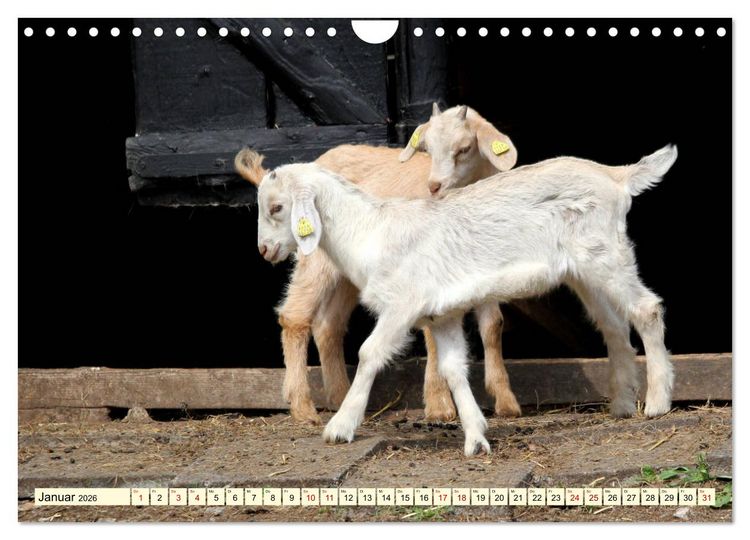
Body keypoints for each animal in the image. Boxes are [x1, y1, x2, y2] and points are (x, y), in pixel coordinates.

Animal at [236, 104, 521, 424]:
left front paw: (506, 401)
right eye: (427, 149)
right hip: (315, 258)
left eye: (464, 148)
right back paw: (303, 407)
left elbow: (492, 325)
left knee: (329, 325)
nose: (434, 187)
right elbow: (432, 334)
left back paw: (340, 397)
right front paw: (438, 405)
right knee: (294, 317)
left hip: (348, 269)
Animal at [255, 145, 677, 455]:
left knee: (647, 309)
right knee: (614, 326)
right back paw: (622, 404)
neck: (372, 233)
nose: (265, 250)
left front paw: (340, 427)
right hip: (584, 271)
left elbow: (370, 352)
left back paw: (657, 402)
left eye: (276, 207)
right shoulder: (442, 315)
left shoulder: (402, 304)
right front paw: (476, 438)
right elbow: (453, 369)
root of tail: (616, 177)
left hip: (606, 254)